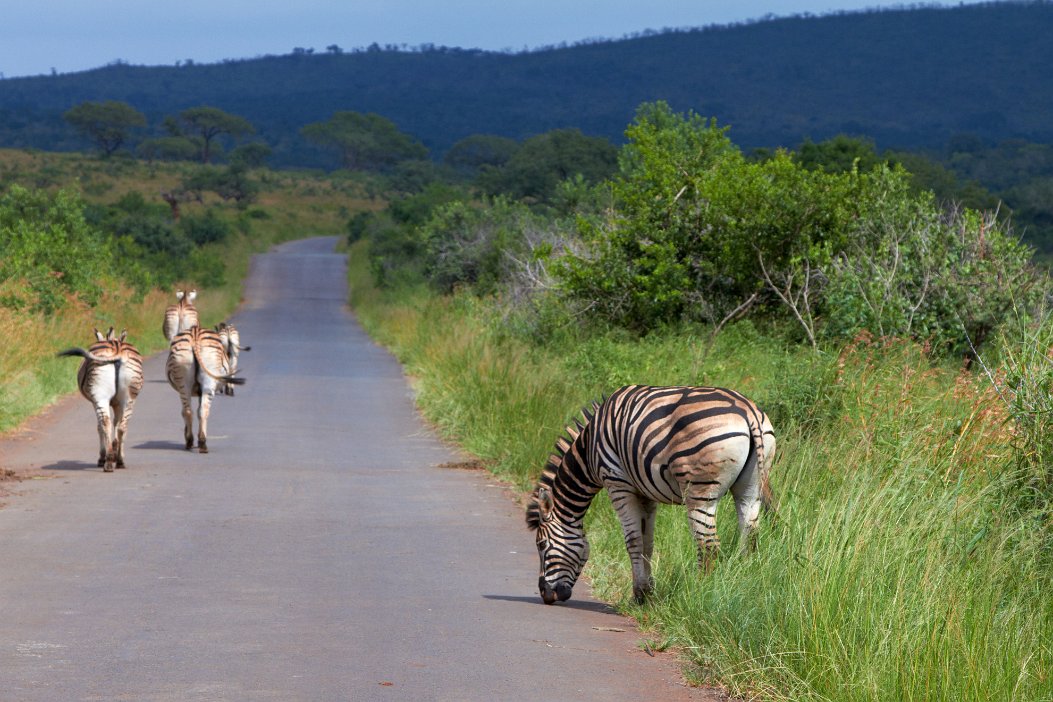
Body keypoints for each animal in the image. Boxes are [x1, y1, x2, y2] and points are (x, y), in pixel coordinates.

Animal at [56, 328, 144, 471]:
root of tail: (117, 349)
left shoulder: (95, 401)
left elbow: (100, 427)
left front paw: (104, 456)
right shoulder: (117, 403)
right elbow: (116, 423)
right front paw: (115, 448)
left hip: (100, 396)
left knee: (105, 424)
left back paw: (107, 461)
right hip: (129, 398)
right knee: (122, 426)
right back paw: (119, 460)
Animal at [524, 385, 775, 606]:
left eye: (541, 544)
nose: (546, 595)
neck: (588, 451)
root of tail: (747, 410)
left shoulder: (618, 484)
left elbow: (633, 541)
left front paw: (638, 596)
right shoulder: (645, 493)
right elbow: (647, 542)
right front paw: (648, 593)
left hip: (700, 490)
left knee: (708, 545)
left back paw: (702, 592)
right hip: (751, 488)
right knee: (750, 536)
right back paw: (743, 583)